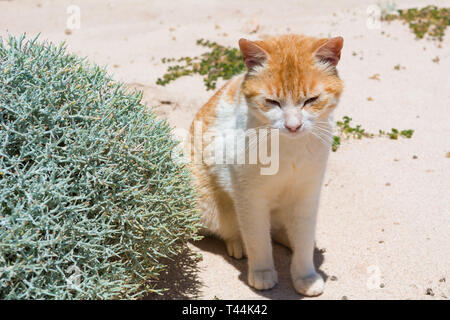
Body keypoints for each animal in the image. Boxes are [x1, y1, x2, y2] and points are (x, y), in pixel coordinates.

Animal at [188, 33, 342, 296]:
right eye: (272, 102)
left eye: (311, 100)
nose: (293, 126)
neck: (290, 148)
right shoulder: (250, 198)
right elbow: (257, 239)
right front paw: (262, 271)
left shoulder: (307, 195)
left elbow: (303, 238)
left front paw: (305, 276)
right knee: (232, 230)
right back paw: (237, 244)